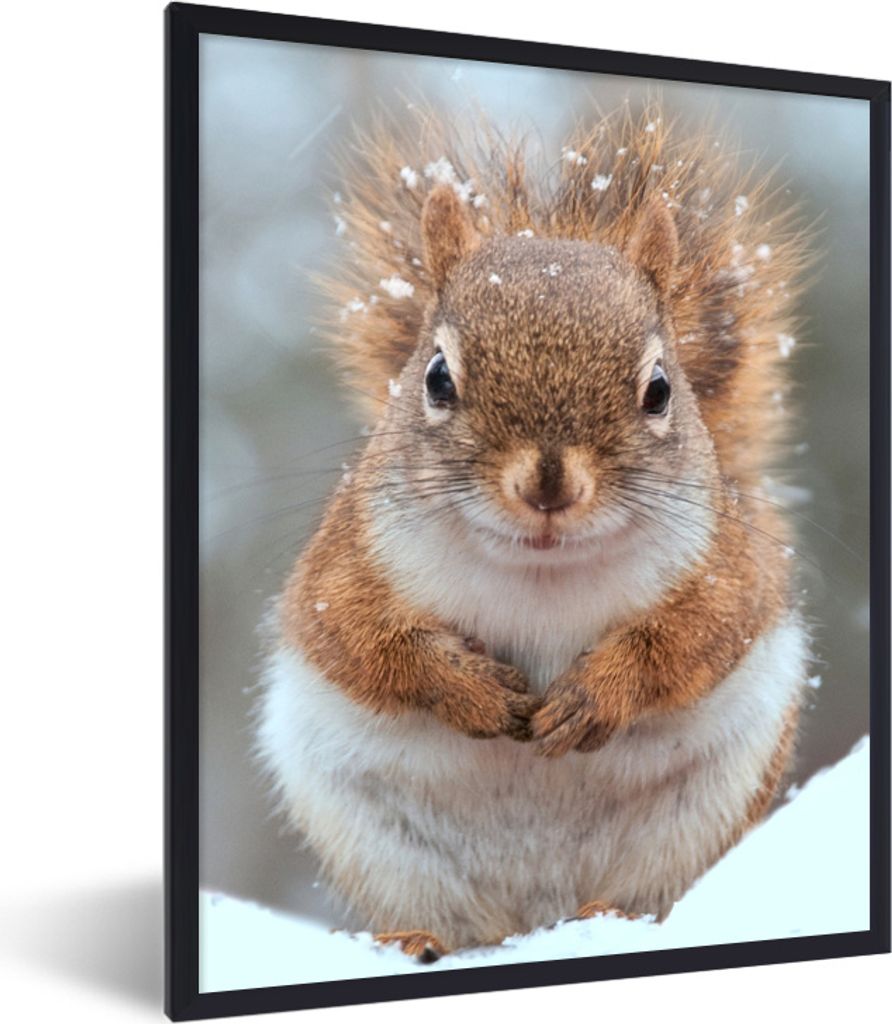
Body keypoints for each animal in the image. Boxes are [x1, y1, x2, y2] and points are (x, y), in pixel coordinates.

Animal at [256, 106, 812, 961]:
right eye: (437, 379)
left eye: (659, 389)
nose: (549, 482)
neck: (541, 569)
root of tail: (535, 919)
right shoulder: (344, 563)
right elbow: (363, 641)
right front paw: (470, 690)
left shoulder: (730, 565)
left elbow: (696, 637)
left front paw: (593, 695)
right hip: (378, 841)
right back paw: (419, 940)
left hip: (700, 816)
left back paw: (611, 916)